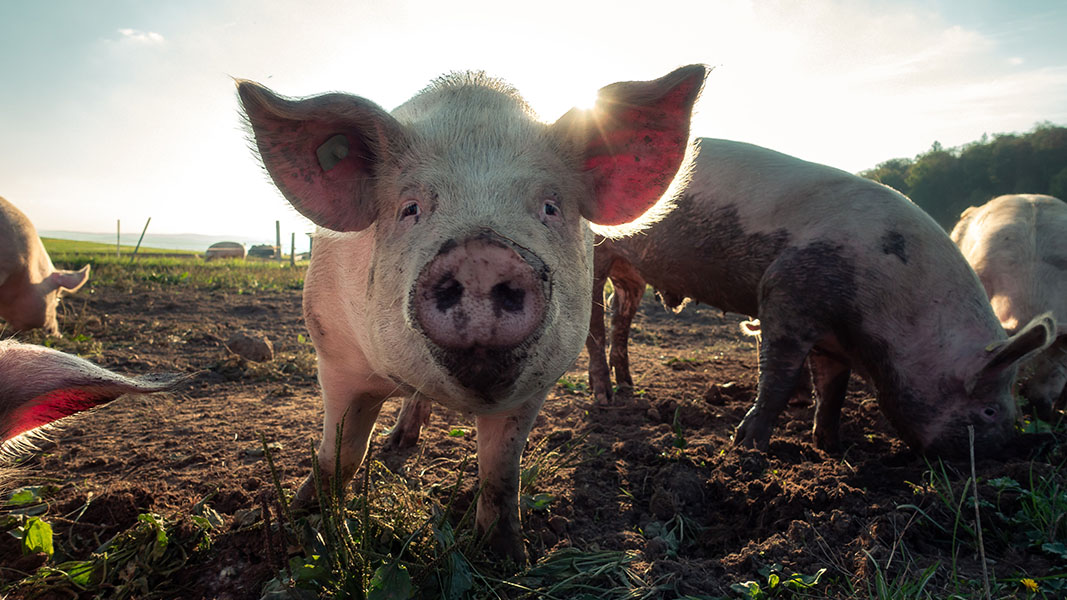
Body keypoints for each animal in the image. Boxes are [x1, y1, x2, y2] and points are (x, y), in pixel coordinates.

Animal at [237, 65, 707, 561]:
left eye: (550, 207)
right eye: (410, 208)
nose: (481, 254)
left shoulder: (537, 384)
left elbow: (500, 472)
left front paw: (507, 558)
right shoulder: (334, 352)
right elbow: (340, 454)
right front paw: (303, 522)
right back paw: (396, 444)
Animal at [584, 138, 1055, 457]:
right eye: (989, 410)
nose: (1004, 453)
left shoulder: (834, 340)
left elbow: (833, 389)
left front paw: (831, 446)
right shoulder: (785, 295)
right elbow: (778, 376)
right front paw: (746, 448)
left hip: (631, 274)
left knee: (619, 316)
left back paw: (629, 388)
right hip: (596, 255)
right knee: (593, 325)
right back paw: (605, 398)